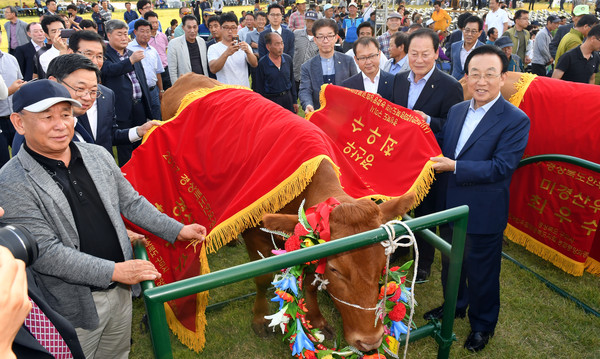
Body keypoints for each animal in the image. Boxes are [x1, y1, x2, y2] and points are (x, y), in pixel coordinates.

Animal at [163, 74, 418, 352]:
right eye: (335, 269)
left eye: (384, 264)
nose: (370, 340)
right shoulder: (255, 233)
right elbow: (262, 277)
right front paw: (260, 319)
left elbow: (309, 282)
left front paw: (317, 320)